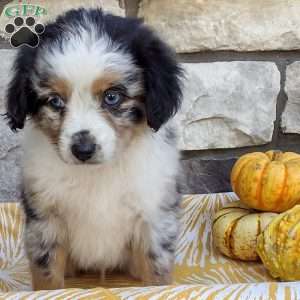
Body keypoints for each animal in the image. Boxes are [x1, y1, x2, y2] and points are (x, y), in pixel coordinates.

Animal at [5, 8, 183, 290]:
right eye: (55, 101)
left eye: (112, 96)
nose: (83, 149)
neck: (98, 173)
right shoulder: (45, 218)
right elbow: (47, 276)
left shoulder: (154, 215)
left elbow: (156, 274)